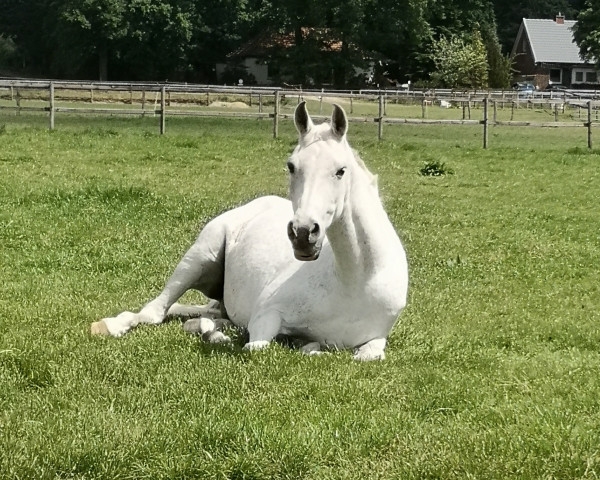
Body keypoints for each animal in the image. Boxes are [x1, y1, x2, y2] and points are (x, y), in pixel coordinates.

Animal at [91, 102, 410, 360]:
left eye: (341, 170)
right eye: (291, 166)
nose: (303, 233)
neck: (355, 281)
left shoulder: (376, 338)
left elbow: (363, 354)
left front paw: (309, 346)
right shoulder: (265, 314)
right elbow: (257, 346)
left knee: (205, 314)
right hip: (199, 256)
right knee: (155, 312)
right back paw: (112, 325)